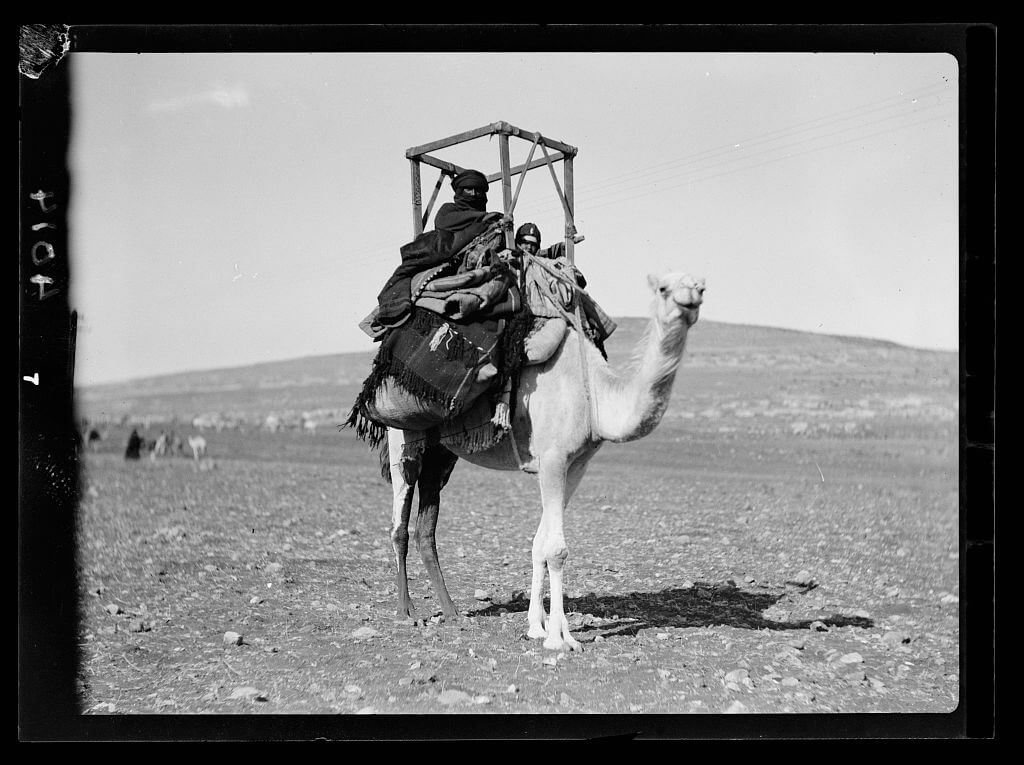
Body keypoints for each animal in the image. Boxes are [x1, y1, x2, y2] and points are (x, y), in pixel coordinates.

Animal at [385, 268, 704, 651]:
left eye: (702, 287)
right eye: (663, 288)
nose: (690, 300)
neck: (593, 394)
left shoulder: (577, 464)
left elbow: (540, 543)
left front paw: (540, 627)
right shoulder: (552, 459)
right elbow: (556, 549)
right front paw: (557, 640)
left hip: (442, 452)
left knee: (425, 525)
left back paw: (451, 612)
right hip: (402, 435)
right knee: (399, 523)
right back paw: (406, 612)